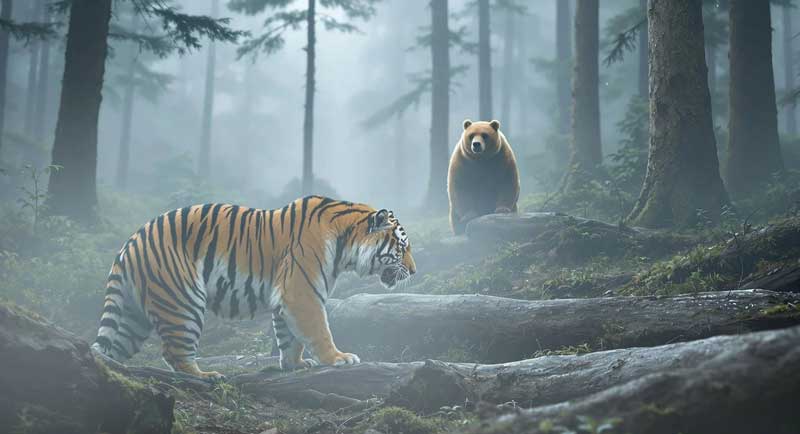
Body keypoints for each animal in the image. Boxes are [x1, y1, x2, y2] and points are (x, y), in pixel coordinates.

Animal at [91, 196, 416, 379]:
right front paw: (338, 359)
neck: (346, 242)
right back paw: (206, 375)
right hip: (182, 302)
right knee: (174, 352)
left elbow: (289, 338)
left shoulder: (288, 296)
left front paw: (296, 365)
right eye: (402, 248)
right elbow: (318, 330)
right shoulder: (302, 292)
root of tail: (131, 241)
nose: (413, 271)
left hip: (132, 315)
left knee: (112, 350)